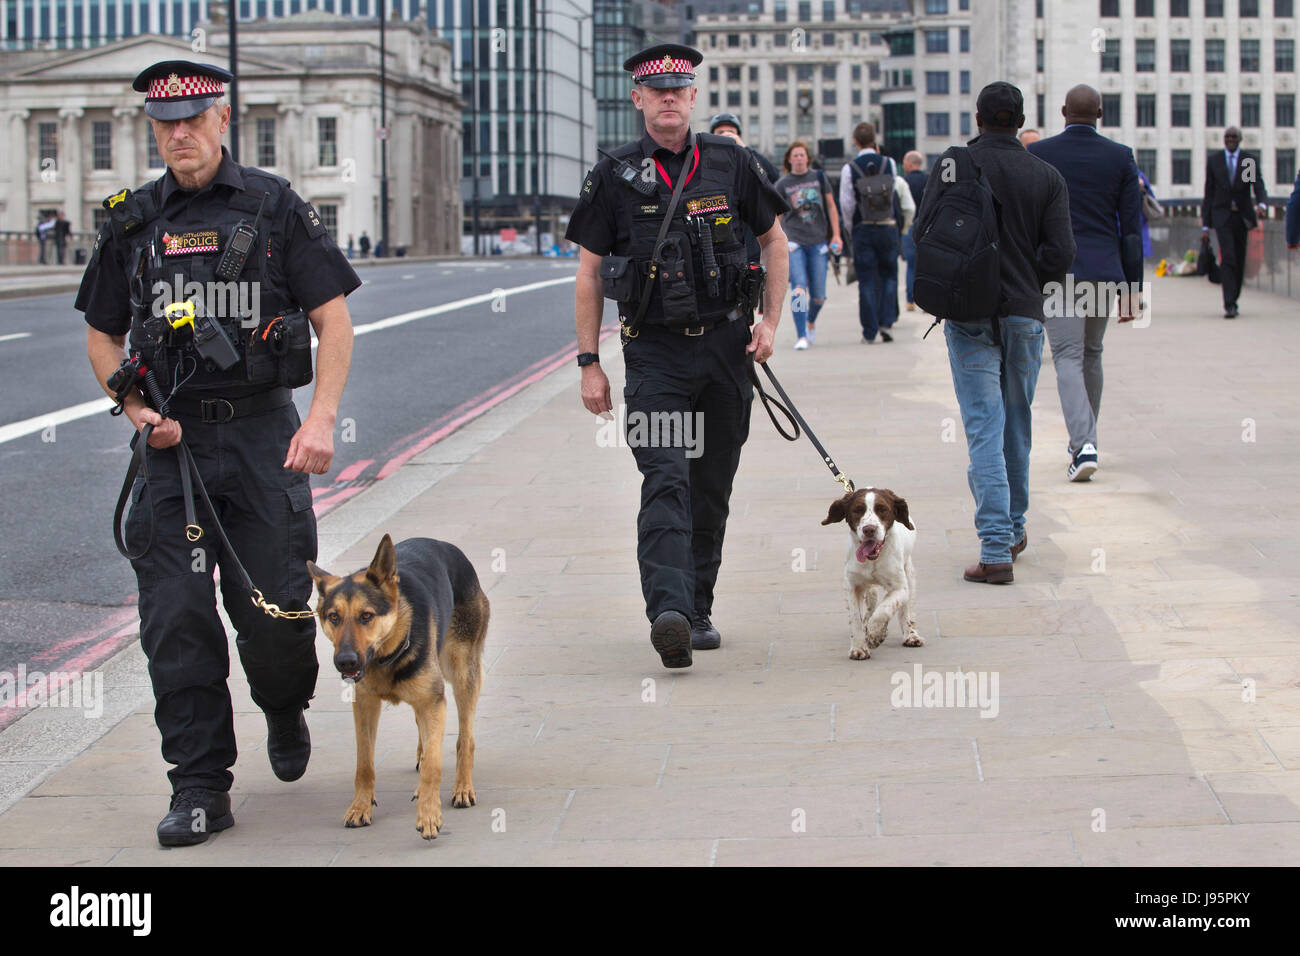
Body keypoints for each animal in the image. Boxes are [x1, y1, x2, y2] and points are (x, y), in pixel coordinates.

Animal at [306, 535, 488, 842]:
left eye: (366, 616)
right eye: (333, 617)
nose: (345, 661)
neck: (387, 652)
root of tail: (445, 545)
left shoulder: (433, 701)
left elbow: (433, 764)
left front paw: (429, 815)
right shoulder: (365, 706)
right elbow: (364, 763)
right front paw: (361, 806)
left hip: (463, 673)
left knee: (465, 737)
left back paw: (462, 787)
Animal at [821, 489, 925, 660]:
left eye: (882, 509)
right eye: (857, 510)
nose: (869, 529)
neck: (873, 559)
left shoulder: (900, 588)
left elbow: (885, 608)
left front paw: (875, 635)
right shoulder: (851, 586)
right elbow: (856, 618)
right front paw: (859, 647)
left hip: (909, 575)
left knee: (906, 610)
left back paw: (910, 635)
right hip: (869, 588)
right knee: (871, 606)